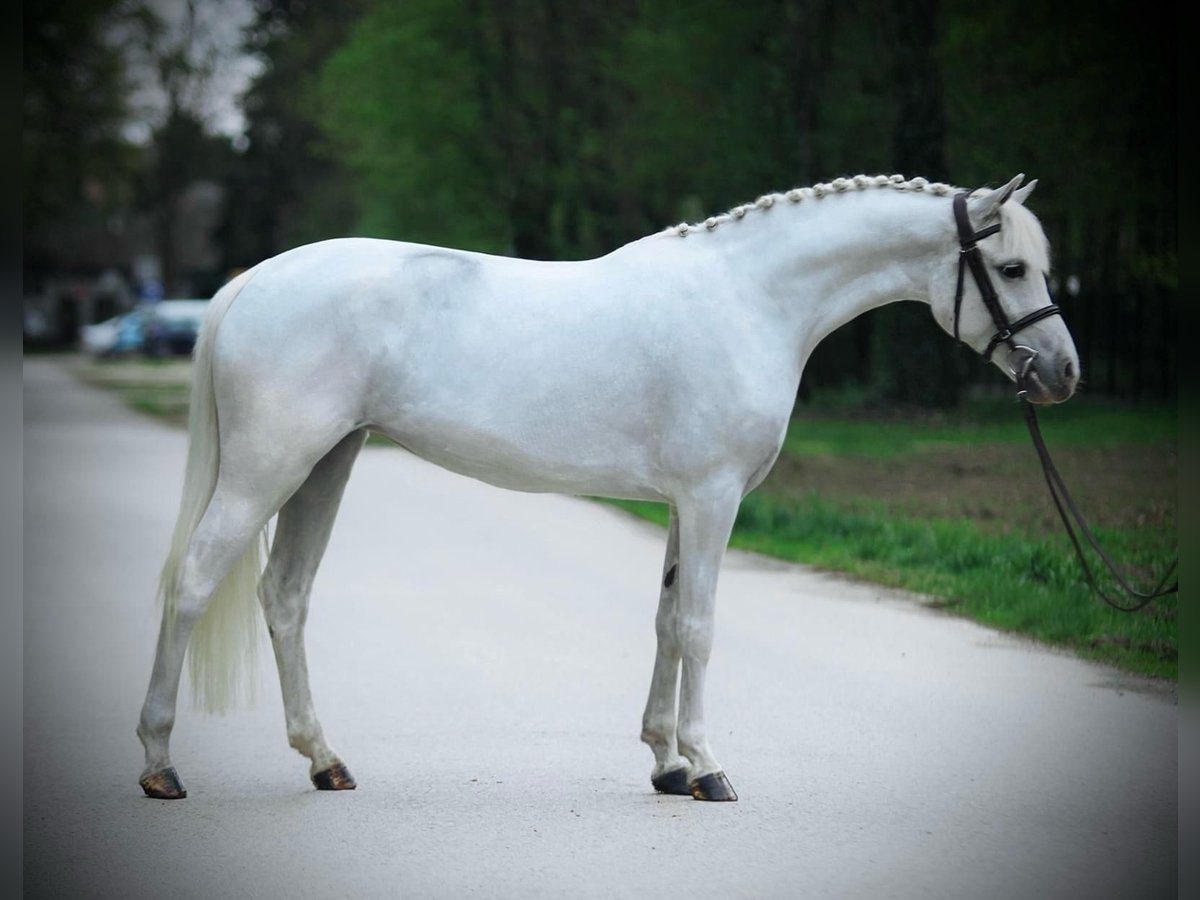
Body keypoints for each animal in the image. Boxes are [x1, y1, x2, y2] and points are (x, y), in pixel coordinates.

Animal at [138, 172, 1080, 801]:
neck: (748, 299)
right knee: (192, 582)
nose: (1064, 374)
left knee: (286, 596)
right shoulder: (713, 498)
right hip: (270, 466)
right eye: (1011, 268)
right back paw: (159, 764)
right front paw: (708, 767)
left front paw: (665, 762)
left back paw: (325, 760)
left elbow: (665, 621)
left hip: (325, 466)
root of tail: (254, 282)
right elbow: (699, 627)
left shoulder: (683, 504)